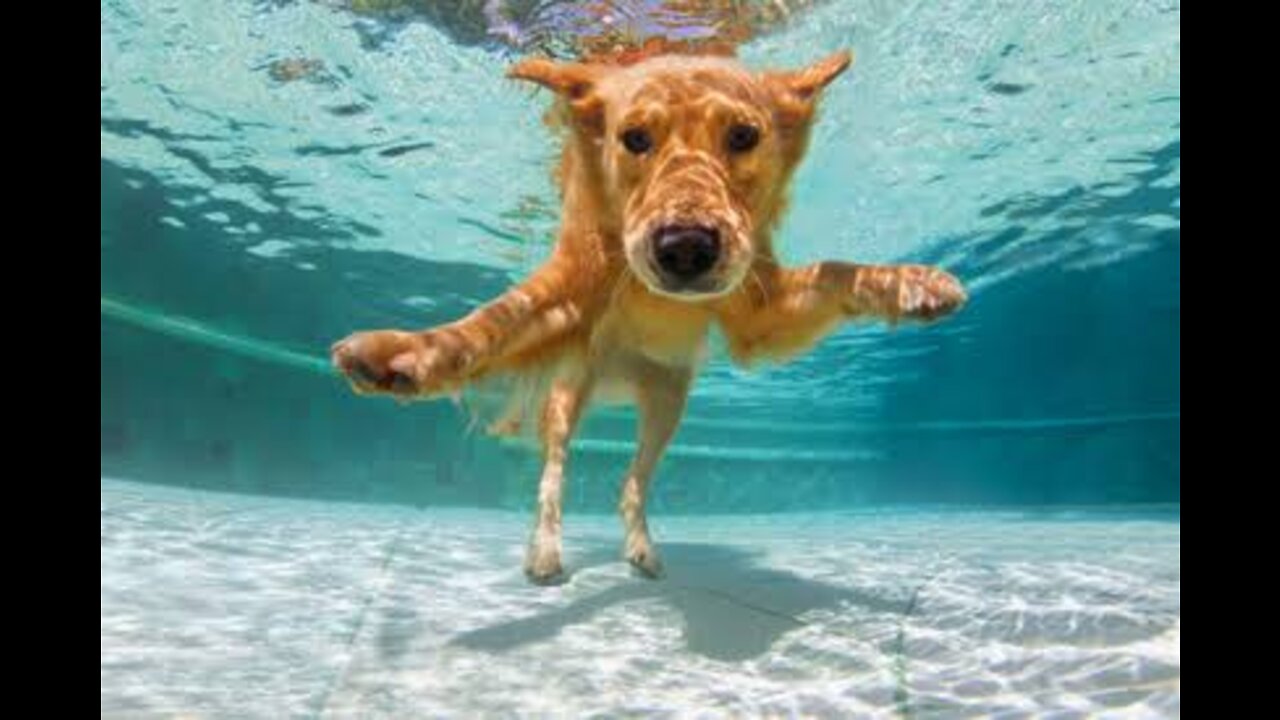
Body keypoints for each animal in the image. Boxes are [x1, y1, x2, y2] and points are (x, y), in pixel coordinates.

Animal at [335, 46, 962, 584]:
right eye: (634, 138)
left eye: (743, 136)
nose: (685, 247)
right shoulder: (567, 292)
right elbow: (489, 324)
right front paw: (404, 353)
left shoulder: (759, 310)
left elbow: (834, 270)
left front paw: (914, 283)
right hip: (569, 393)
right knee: (553, 473)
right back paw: (545, 552)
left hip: (668, 401)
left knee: (632, 484)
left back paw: (641, 549)